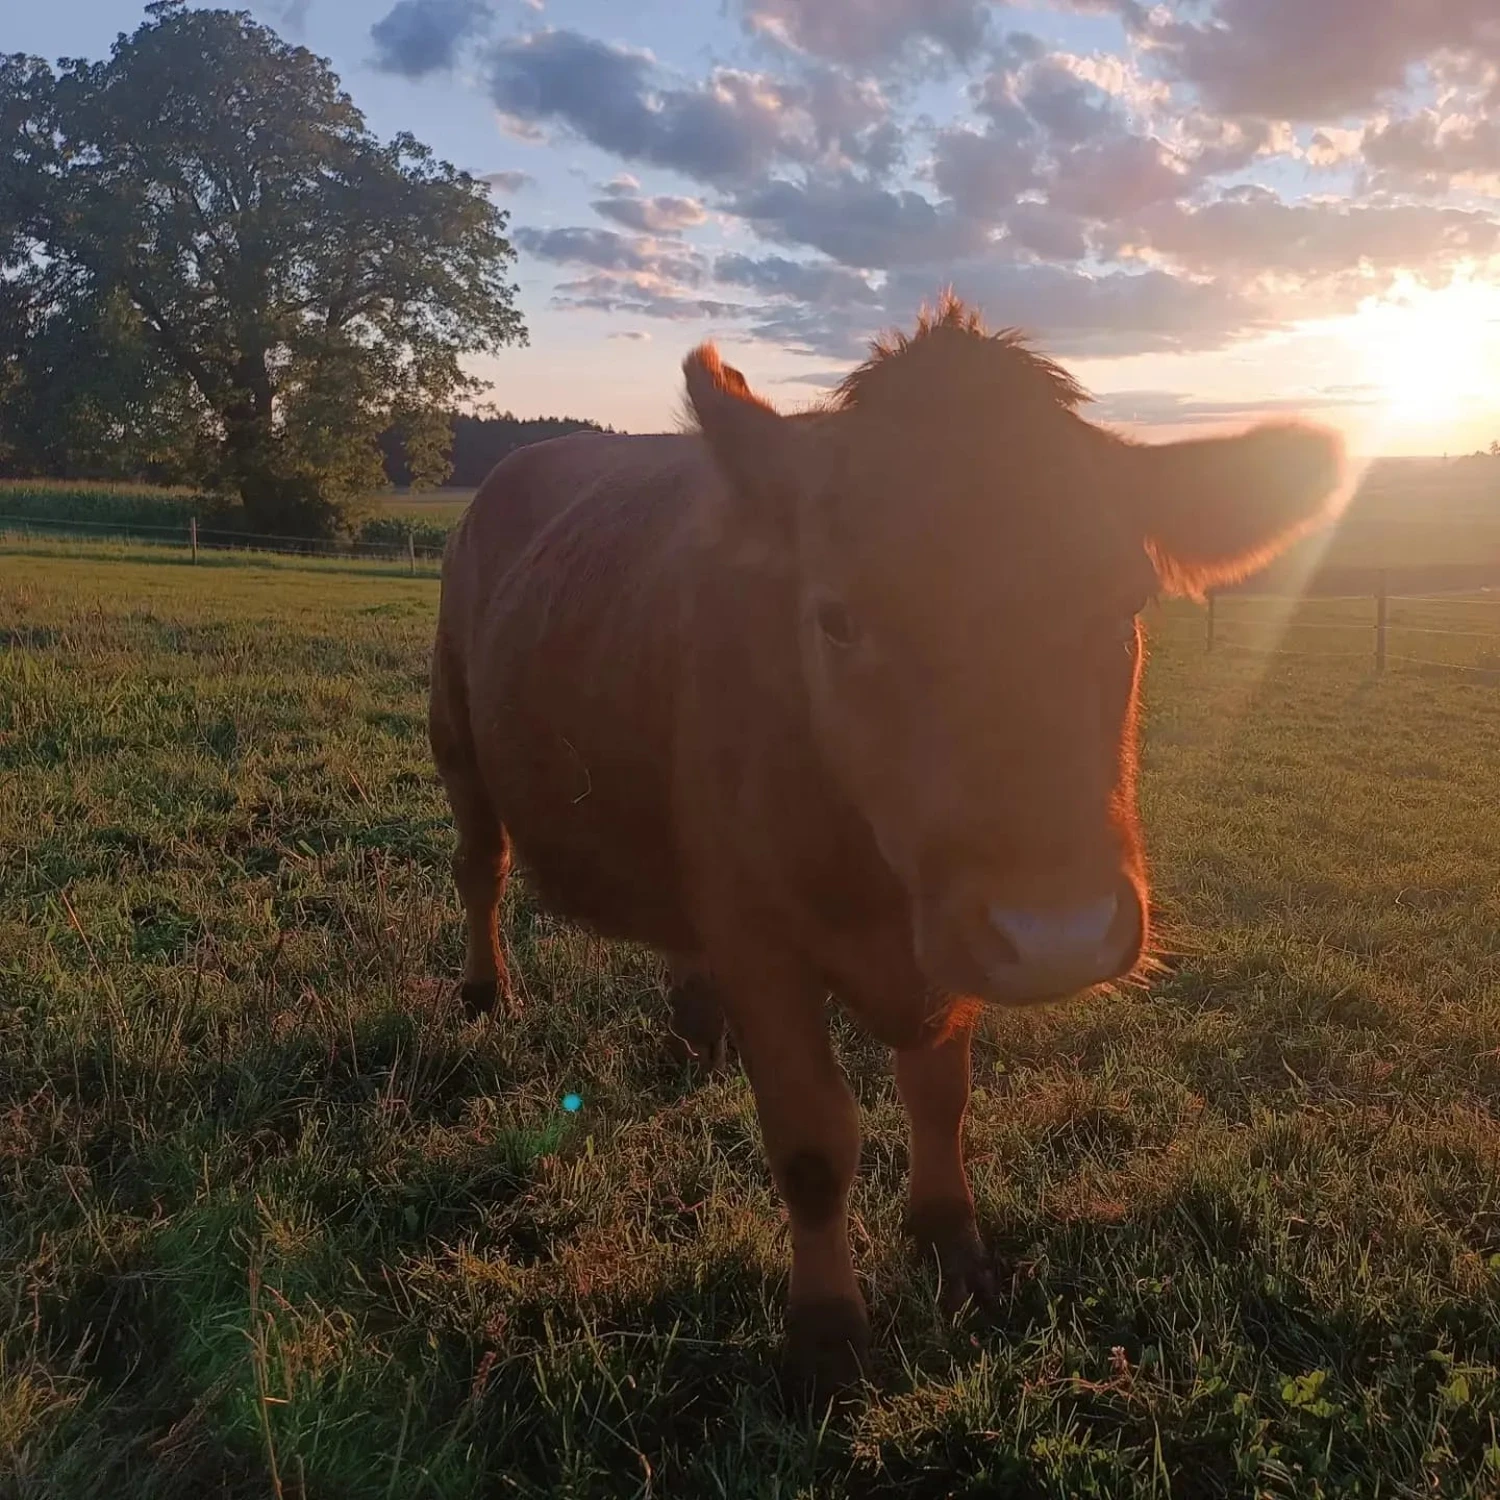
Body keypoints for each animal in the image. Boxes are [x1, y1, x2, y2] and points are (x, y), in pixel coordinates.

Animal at [426, 295, 1350, 1404]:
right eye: (836, 617)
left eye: (1126, 603)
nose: (1057, 932)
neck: (875, 881)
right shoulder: (762, 940)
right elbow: (815, 1140)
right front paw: (827, 1333)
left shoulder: (946, 939)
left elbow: (941, 1097)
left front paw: (951, 1240)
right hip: (455, 732)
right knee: (480, 869)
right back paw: (487, 993)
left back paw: (693, 1027)